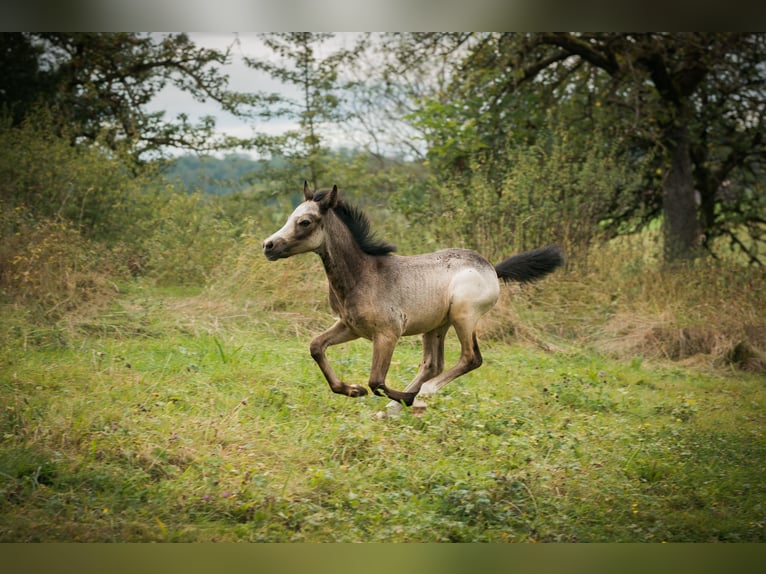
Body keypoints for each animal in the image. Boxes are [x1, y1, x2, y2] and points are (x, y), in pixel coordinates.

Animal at [266, 182, 564, 416]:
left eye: (305, 222)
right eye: (291, 216)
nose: (268, 246)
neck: (363, 275)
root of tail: (492, 268)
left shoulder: (388, 333)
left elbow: (376, 381)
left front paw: (405, 398)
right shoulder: (350, 327)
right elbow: (316, 347)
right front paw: (353, 390)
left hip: (463, 316)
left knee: (470, 358)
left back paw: (422, 396)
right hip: (436, 326)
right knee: (433, 364)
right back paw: (399, 406)